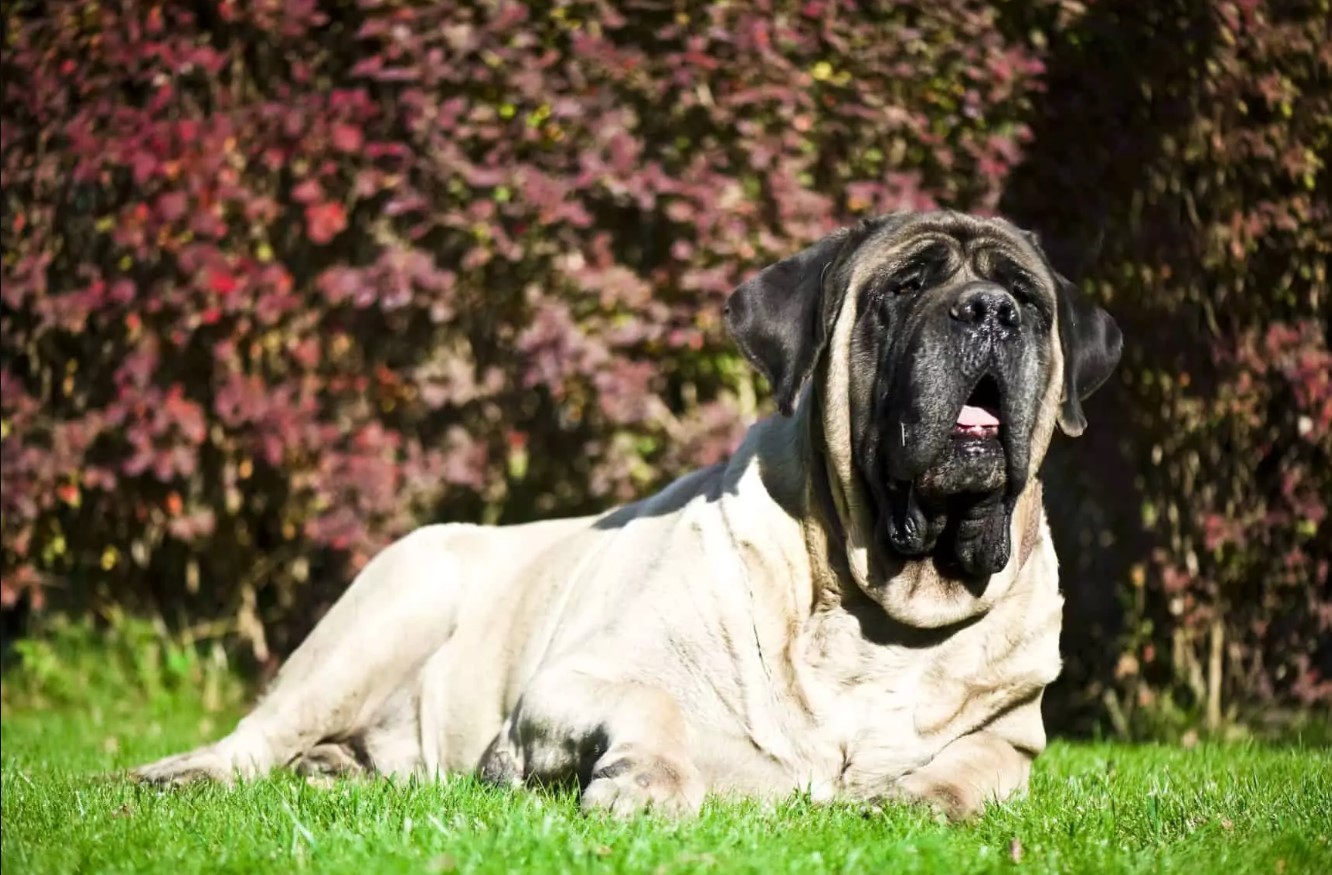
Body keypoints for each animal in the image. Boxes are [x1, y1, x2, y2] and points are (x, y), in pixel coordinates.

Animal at [135, 211, 1118, 820]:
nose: (988, 310)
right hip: (389, 606)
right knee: (259, 732)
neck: (873, 604)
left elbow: (978, 766)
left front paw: (922, 800)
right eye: (904, 287)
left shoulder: (1013, 737)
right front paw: (643, 783)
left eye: (1029, 300)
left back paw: (335, 768)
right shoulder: (572, 682)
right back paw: (185, 773)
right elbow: (654, 705)